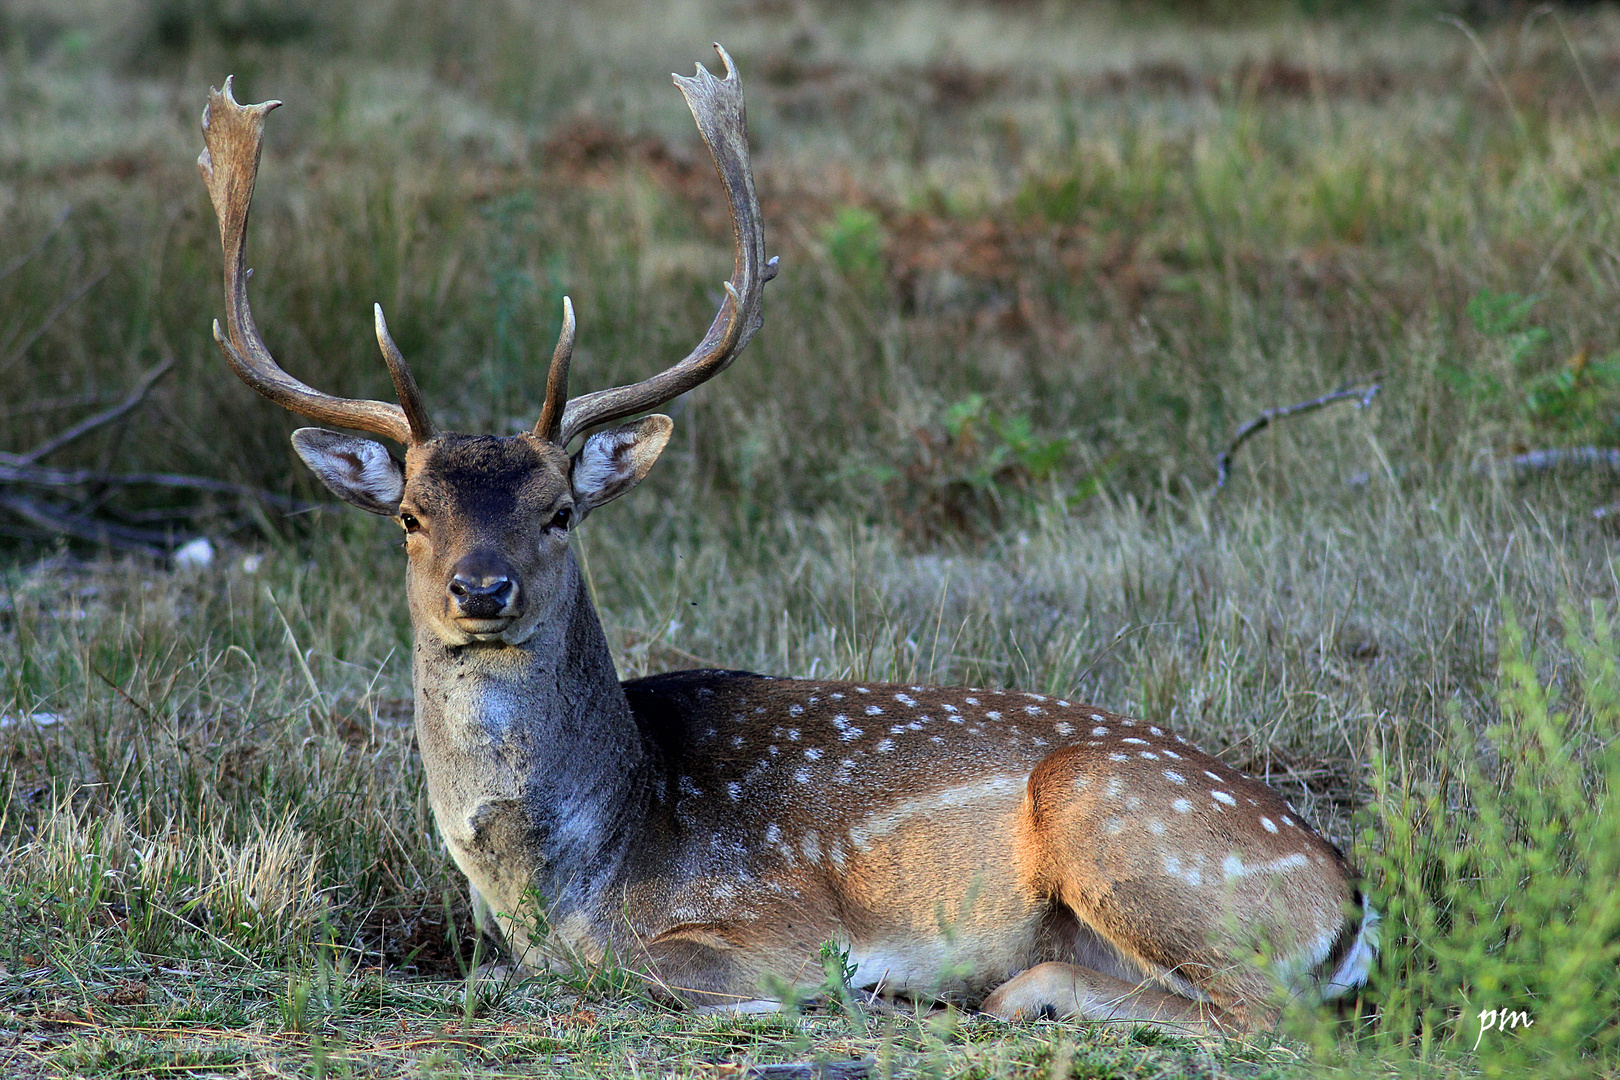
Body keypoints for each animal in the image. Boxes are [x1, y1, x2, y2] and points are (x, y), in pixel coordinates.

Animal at [196, 46, 1373, 1036]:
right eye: (410, 516)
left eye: (560, 510)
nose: (480, 590)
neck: (572, 878)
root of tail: (1348, 898)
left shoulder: (776, 917)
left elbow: (652, 970)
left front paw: (855, 988)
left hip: (1118, 822)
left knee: (1265, 1014)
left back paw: (1011, 991)